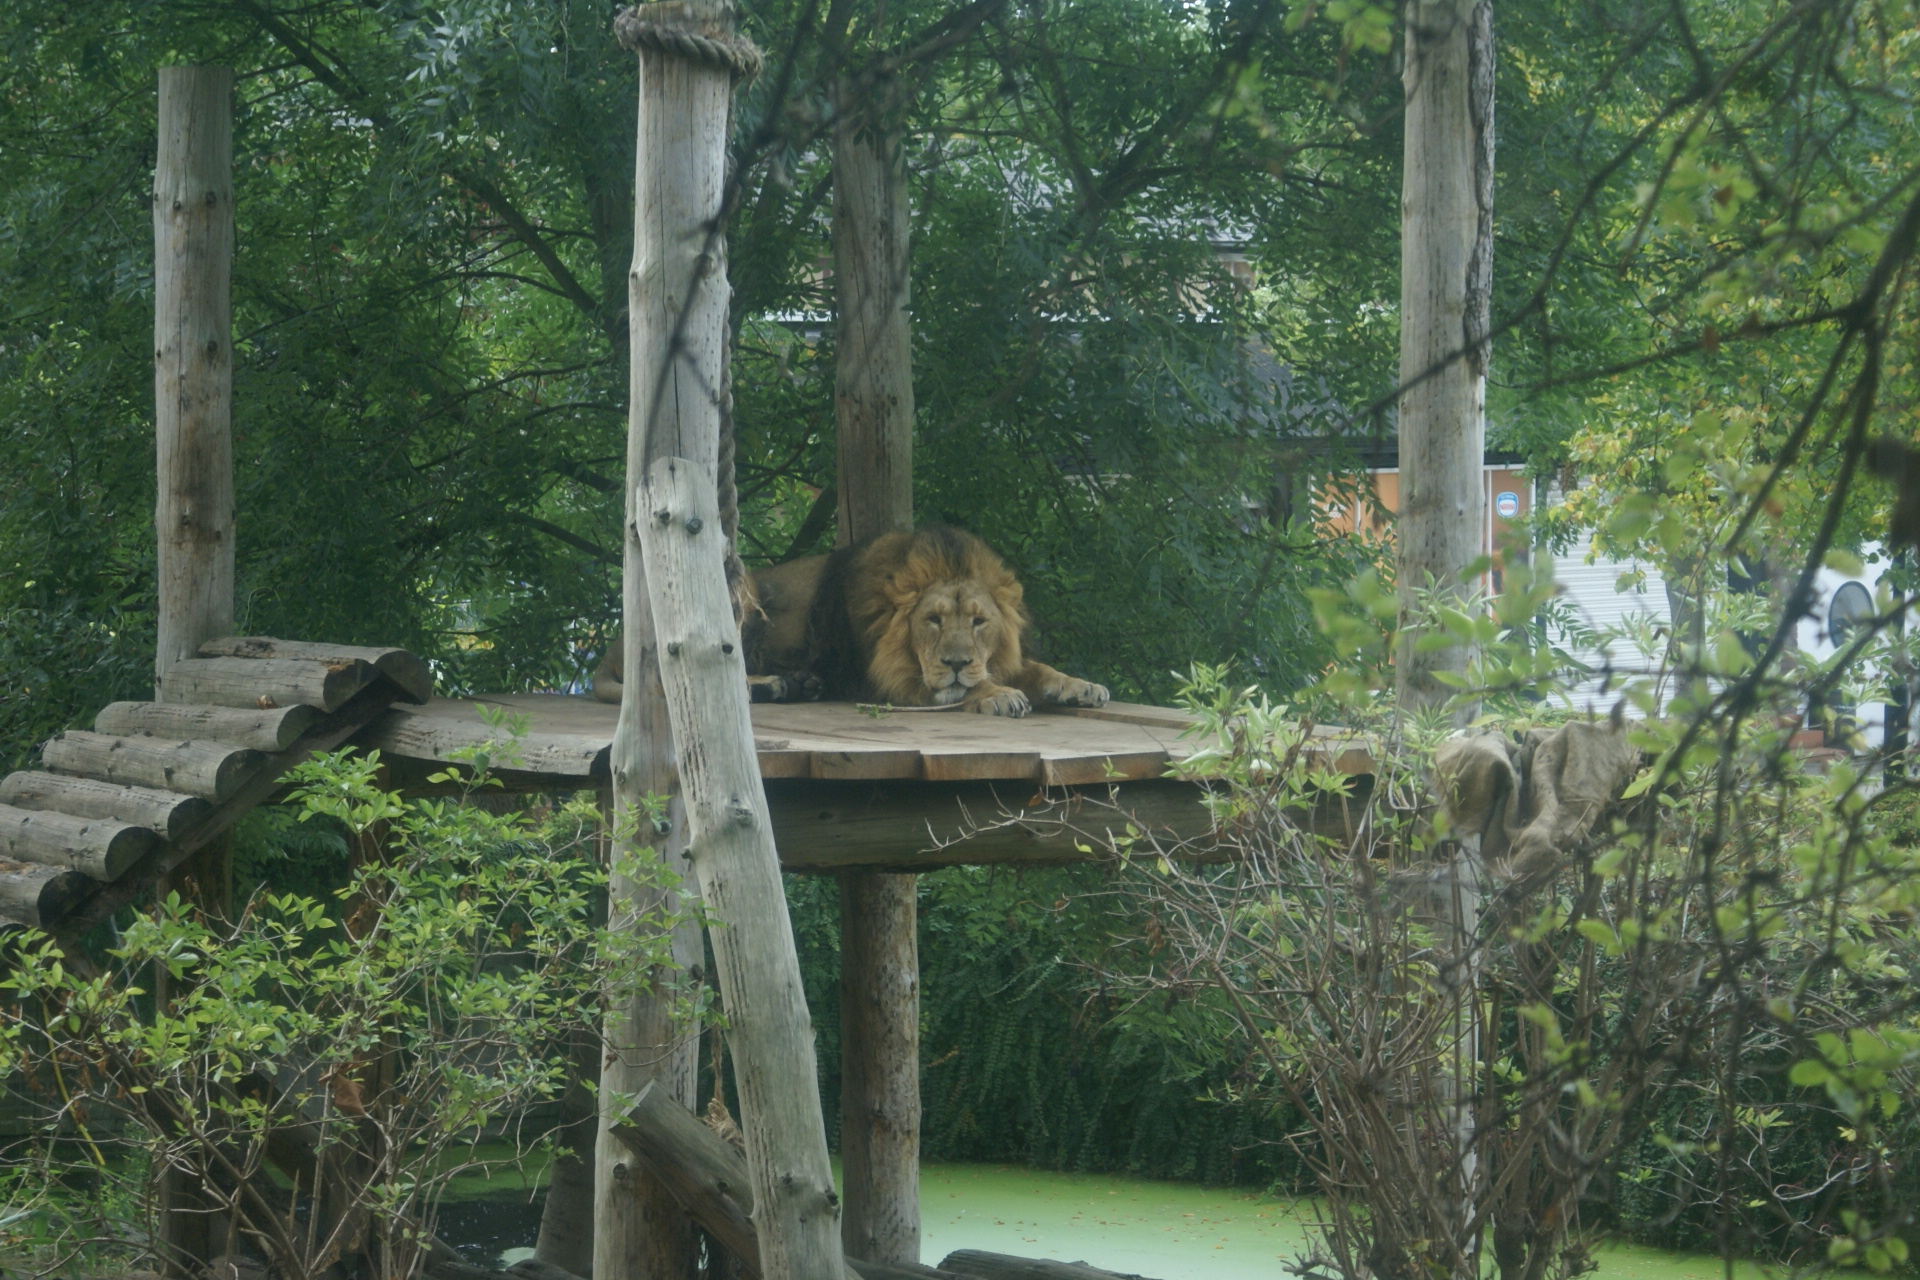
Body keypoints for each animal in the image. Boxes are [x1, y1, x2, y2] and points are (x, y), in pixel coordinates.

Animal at [592, 525, 1108, 718]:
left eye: (979, 621)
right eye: (933, 620)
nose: (957, 662)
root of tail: (614, 645)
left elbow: (1038, 669)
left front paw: (1079, 686)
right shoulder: (886, 679)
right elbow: (961, 689)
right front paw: (998, 695)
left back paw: (796, 684)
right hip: (745, 593)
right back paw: (774, 685)